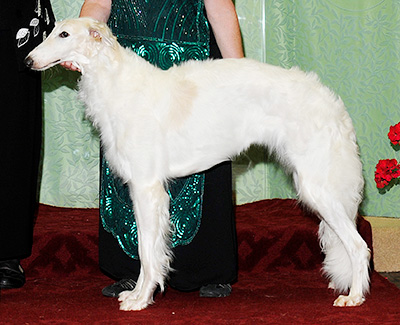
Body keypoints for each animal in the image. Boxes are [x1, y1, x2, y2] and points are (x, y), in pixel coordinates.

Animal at [26, 18, 372, 312]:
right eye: (53, 30)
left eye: (64, 34)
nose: (28, 60)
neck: (116, 81)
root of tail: (331, 102)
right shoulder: (146, 190)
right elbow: (150, 251)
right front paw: (137, 293)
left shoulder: (147, 188)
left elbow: (147, 252)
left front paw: (141, 299)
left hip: (317, 187)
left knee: (358, 246)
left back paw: (354, 297)